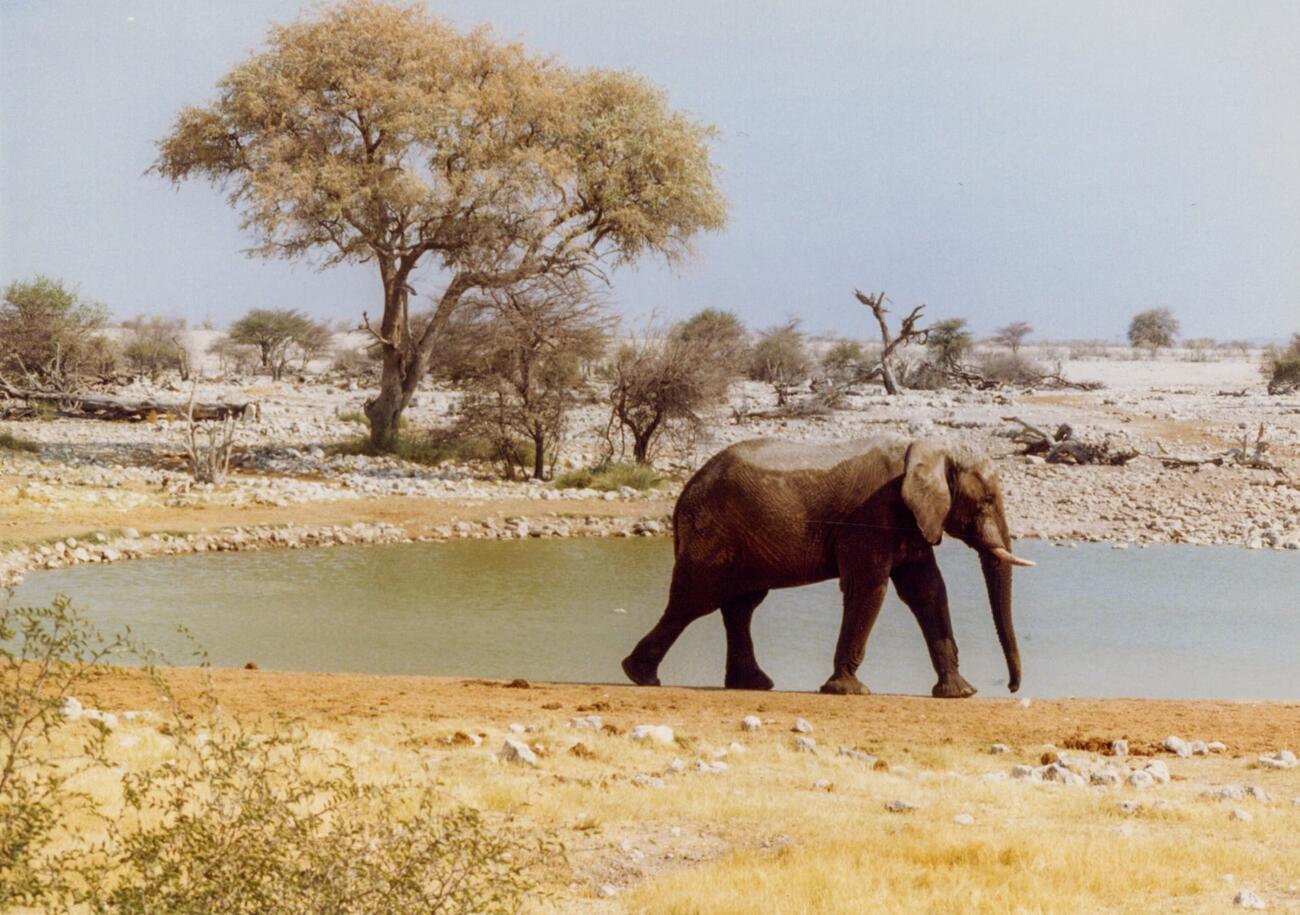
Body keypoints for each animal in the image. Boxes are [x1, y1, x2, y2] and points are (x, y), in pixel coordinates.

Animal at [621, 435, 1033, 698]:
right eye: (986, 500)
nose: (1012, 686)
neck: (926, 448)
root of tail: (684, 492)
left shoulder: (910, 519)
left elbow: (927, 590)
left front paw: (960, 693)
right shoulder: (871, 515)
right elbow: (870, 587)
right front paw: (848, 691)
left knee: (740, 604)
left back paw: (753, 684)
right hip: (712, 531)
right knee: (694, 599)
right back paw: (640, 676)